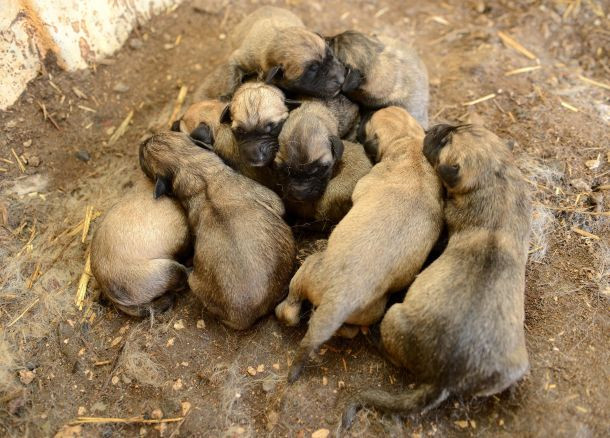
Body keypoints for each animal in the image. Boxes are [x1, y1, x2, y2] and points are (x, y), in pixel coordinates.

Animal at [276, 106, 442, 380]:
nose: (365, 115)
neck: (410, 148)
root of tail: (340, 299)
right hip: (372, 310)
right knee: (350, 330)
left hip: (308, 268)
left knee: (289, 311)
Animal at [342, 123, 532, 424]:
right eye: (456, 128)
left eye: (445, 142)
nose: (434, 128)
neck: (498, 177)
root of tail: (444, 379)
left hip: (394, 317)